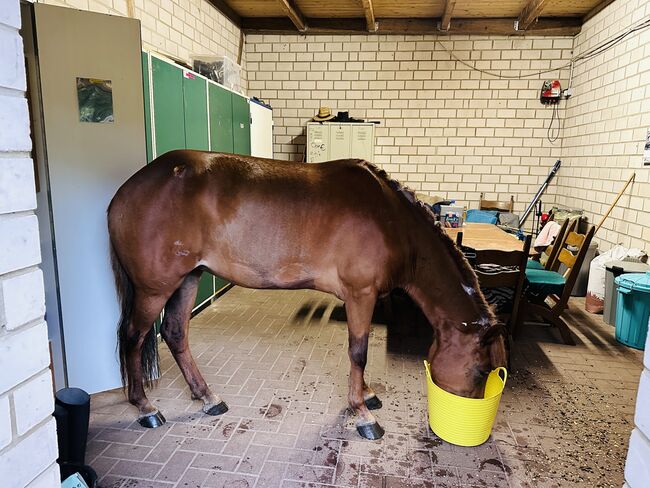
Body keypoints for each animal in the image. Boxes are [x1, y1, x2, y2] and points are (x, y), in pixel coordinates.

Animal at [109, 151, 506, 440]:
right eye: (480, 369)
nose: (468, 421)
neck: (392, 220)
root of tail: (125, 192)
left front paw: (368, 394)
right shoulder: (360, 294)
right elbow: (358, 352)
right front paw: (362, 414)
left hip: (188, 279)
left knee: (175, 333)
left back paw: (208, 398)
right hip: (155, 288)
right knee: (133, 336)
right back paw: (145, 408)